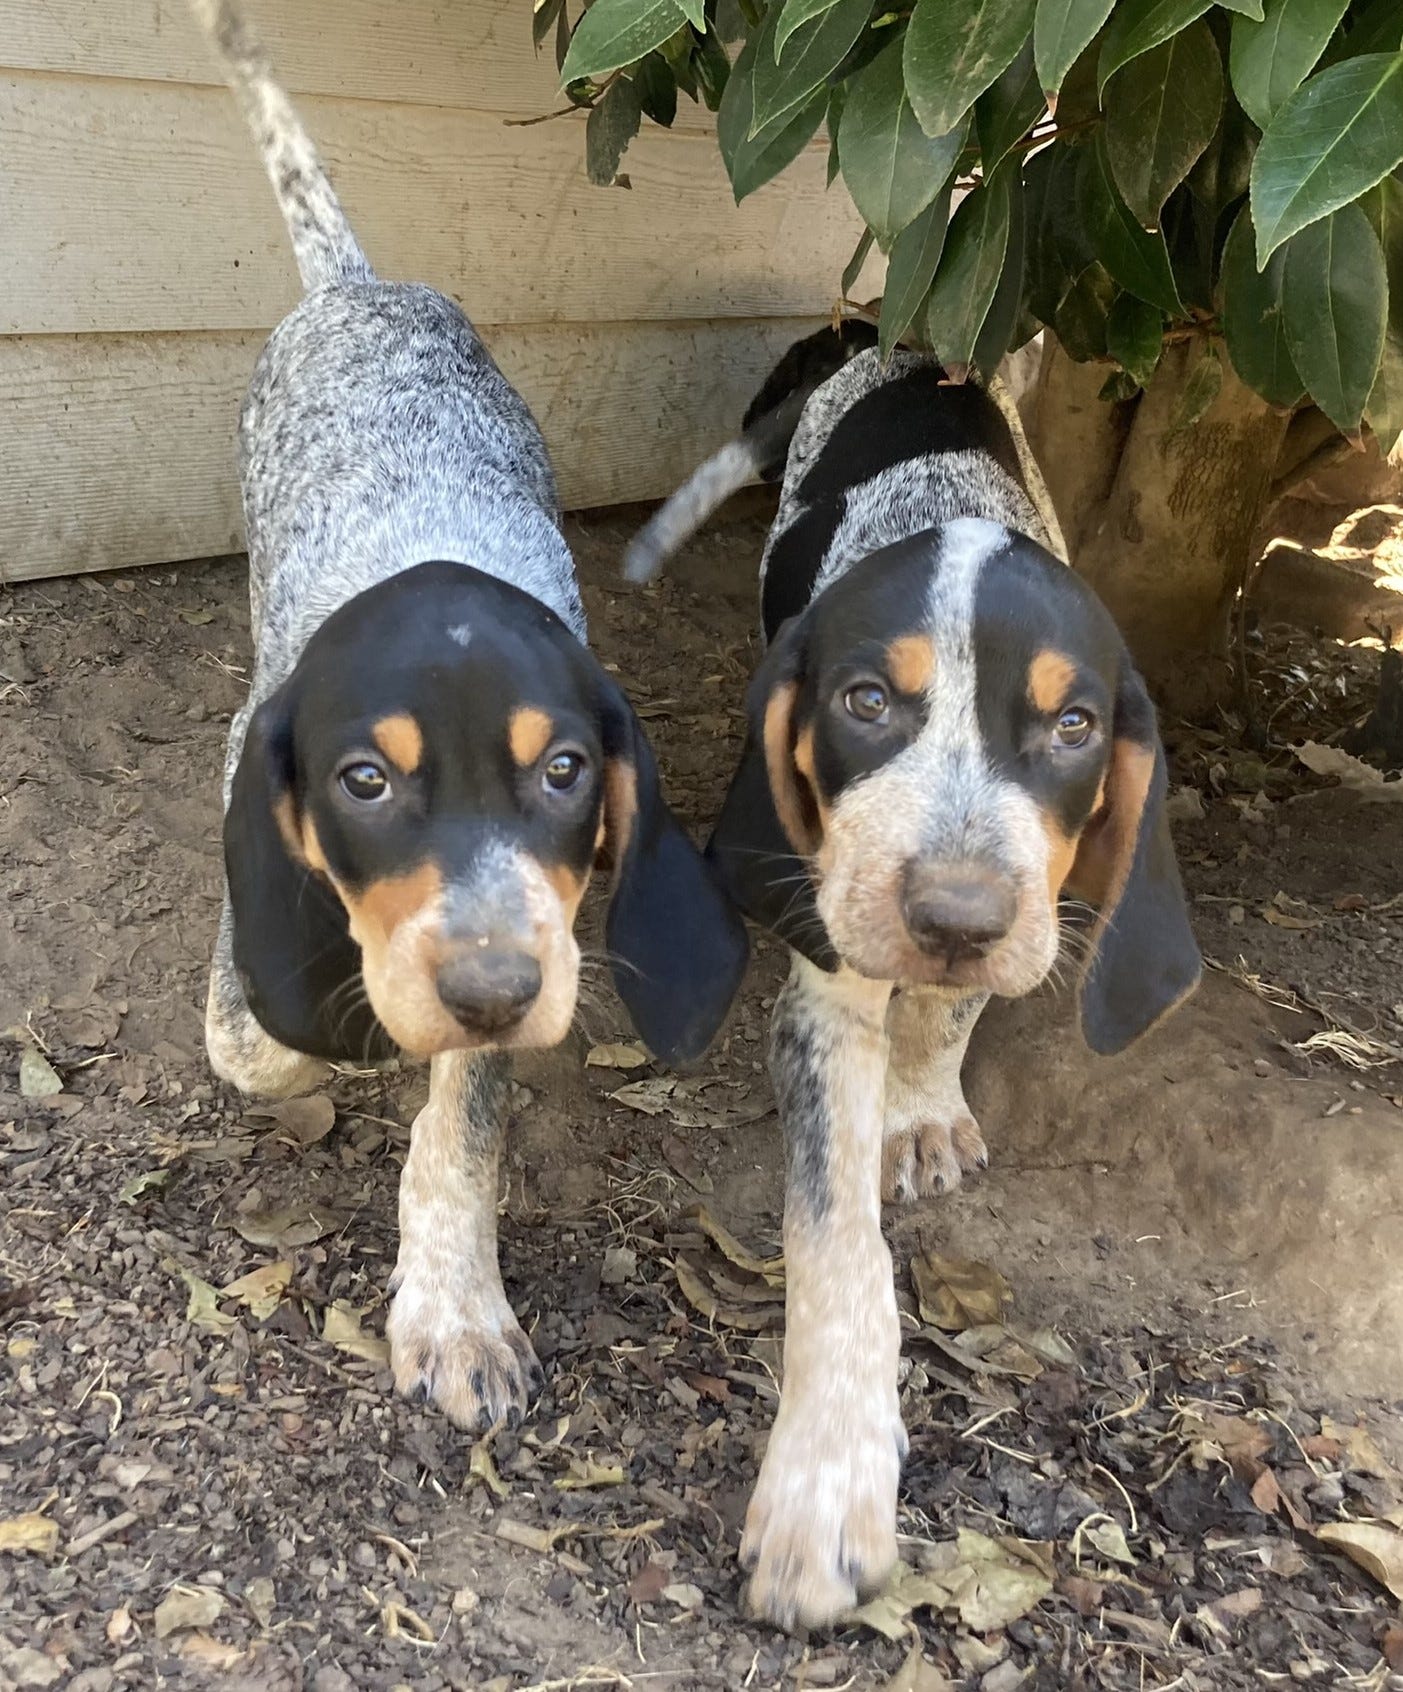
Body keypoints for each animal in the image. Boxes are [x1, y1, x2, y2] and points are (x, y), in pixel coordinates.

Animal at [192, 0, 747, 1433]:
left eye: (564, 772)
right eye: (363, 783)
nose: (491, 989)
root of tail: (356, 287)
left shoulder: (536, 937)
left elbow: (461, 1131)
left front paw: (455, 1309)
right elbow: (262, 1040)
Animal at [627, 341, 1201, 1629]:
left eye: (1074, 725)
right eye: (864, 703)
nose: (952, 917)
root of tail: (877, 342)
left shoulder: (1020, 914)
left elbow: (952, 1010)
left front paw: (923, 1109)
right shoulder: (826, 987)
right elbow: (841, 1246)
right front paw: (825, 1480)